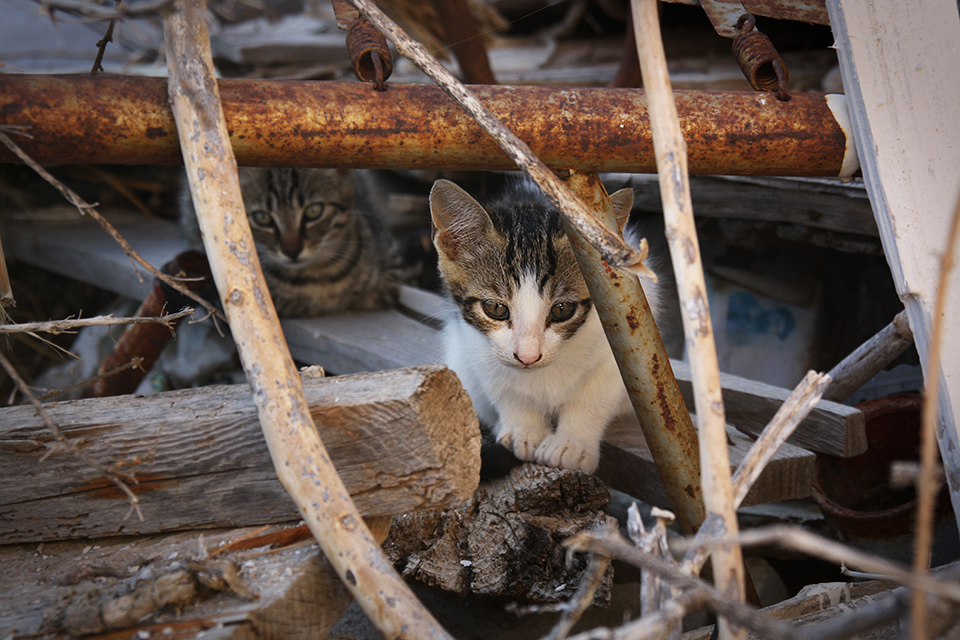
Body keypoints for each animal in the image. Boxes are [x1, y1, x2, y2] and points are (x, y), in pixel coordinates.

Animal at [432, 178, 664, 472]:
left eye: (562, 310)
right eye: (495, 308)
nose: (528, 357)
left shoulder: (622, 340)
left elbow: (596, 395)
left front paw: (572, 443)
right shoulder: (473, 342)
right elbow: (501, 384)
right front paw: (524, 429)